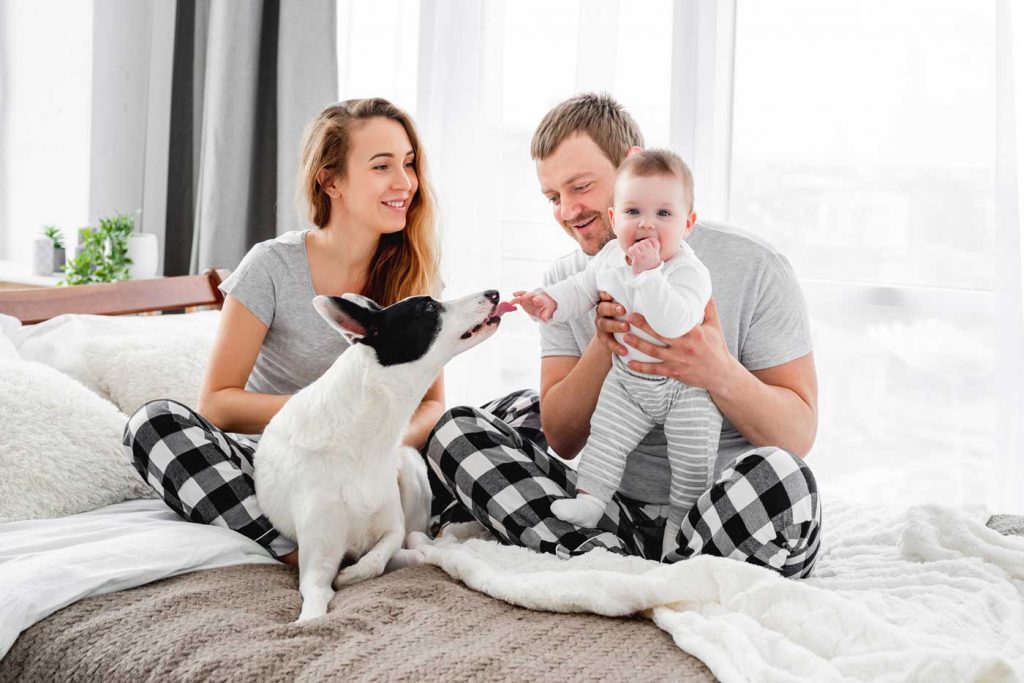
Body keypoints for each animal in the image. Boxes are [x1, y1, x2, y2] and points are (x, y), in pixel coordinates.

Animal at [253, 290, 512, 622]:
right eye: (429, 307)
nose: (494, 293)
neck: (360, 440)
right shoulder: (315, 568)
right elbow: (315, 604)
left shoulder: (391, 527)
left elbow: (379, 555)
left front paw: (353, 573)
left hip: (412, 473)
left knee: (416, 537)